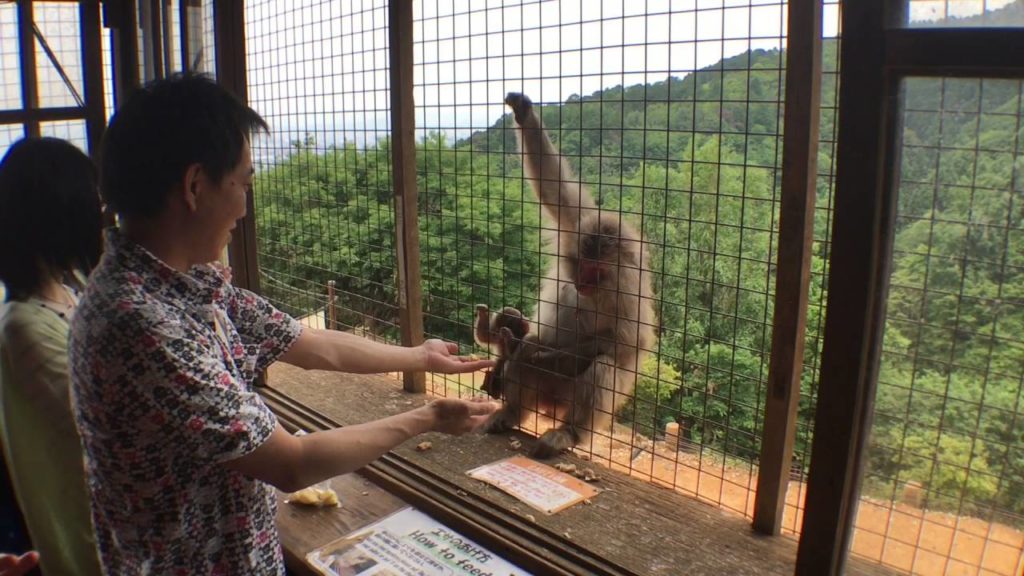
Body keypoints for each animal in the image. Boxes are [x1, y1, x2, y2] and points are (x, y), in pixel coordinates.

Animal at [475, 92, 657, 459]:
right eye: (581, 264)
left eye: (596, 271)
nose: (582, 283)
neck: (603, 287)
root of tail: (550, 407)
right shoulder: (578, 223)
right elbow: (555, 190)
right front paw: (524, 112)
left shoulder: (632, 294)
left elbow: (626, 344)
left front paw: (549, 355)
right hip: (541, 392)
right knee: (526, 360)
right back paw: (512, 411)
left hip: (568, 398)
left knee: (603, 365)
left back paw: (568, 432)